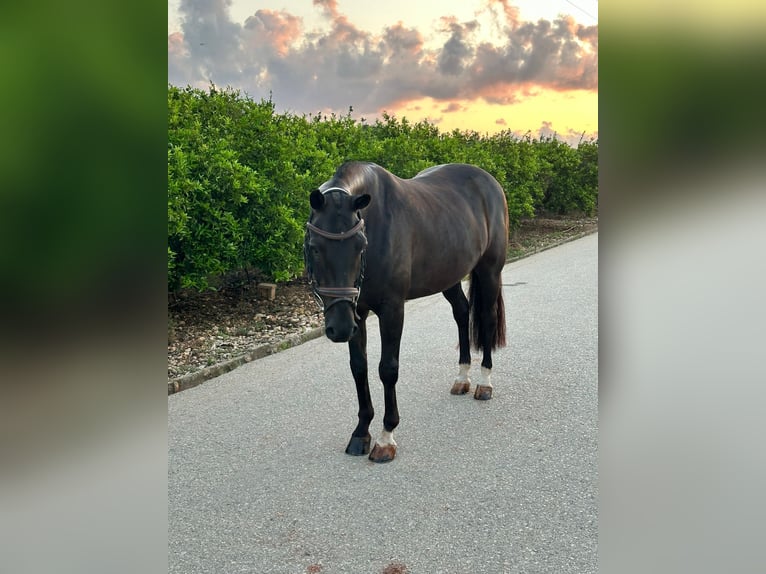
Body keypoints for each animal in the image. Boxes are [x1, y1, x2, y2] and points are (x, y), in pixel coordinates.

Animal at [306, 161, 510, 464]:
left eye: (360, 245)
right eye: (315, 248)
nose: (339, 328)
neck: (377, 222)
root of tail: (488, 180)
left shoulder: (392, 310)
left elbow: (387, 369)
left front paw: (385, 438)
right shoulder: (357, 312)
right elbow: (359, 368)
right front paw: (360, 433)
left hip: (490, 271)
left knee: (486, 319)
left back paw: (484, 383)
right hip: (449, 276)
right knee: (462, 313)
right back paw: (462, 378)